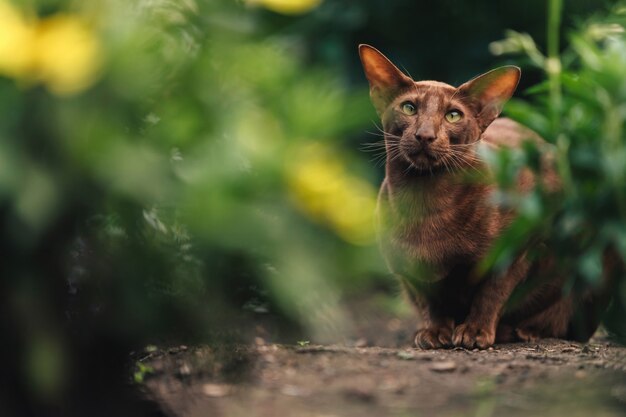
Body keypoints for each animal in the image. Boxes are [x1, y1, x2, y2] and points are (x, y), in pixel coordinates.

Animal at [358, 43, 608, 348]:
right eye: (409, 108)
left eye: (453, 115)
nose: (425, 135)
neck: (426, 203)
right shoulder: (408, 269)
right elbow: (431, 300)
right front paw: (435, 332)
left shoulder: (519, 248)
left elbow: (492, 292)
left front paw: (475, 332)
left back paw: (523, 330)